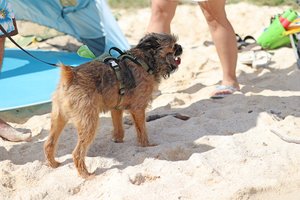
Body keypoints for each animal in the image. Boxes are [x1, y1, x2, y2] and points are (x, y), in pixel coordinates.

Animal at [43, 32, 182, 178]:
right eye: (173, 46)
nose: (181, 47)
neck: (143, 61)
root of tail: (70, 77)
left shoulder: (116, 108)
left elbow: (118, 127)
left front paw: (118, 140)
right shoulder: (138, 109)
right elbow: (142, 130)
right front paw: (147, 145)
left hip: (58, 118)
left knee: (49, 143)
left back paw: (53, 164)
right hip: (89, 122)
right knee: (77, 152)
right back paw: (86, 174)